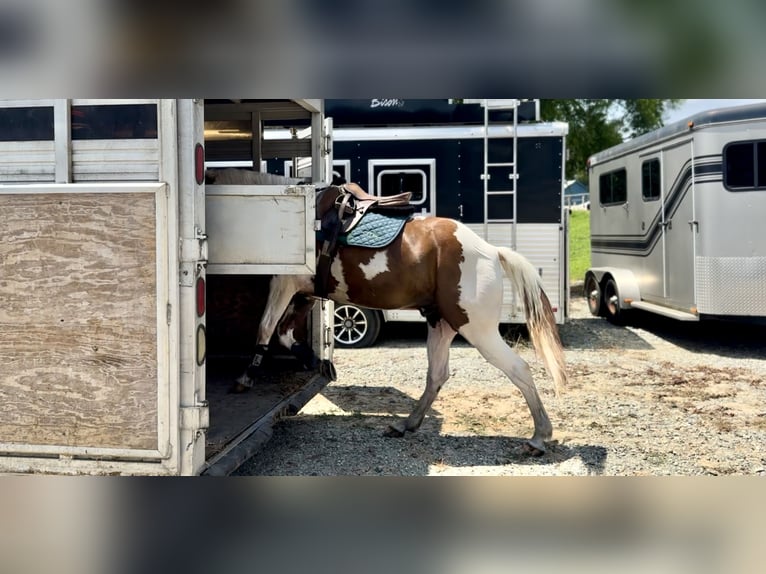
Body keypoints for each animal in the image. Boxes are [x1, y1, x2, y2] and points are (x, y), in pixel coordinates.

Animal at [229, 176, 568, 455]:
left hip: (477, 329)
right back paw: (405, 424)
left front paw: (246, 377)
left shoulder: (283, 282)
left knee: (519, 369)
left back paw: (539, 438)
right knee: (437, 375)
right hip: (441, 324)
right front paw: (315, 361)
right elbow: (284, 333)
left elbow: (265, 327)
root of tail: (491, 251)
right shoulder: (305, 294)